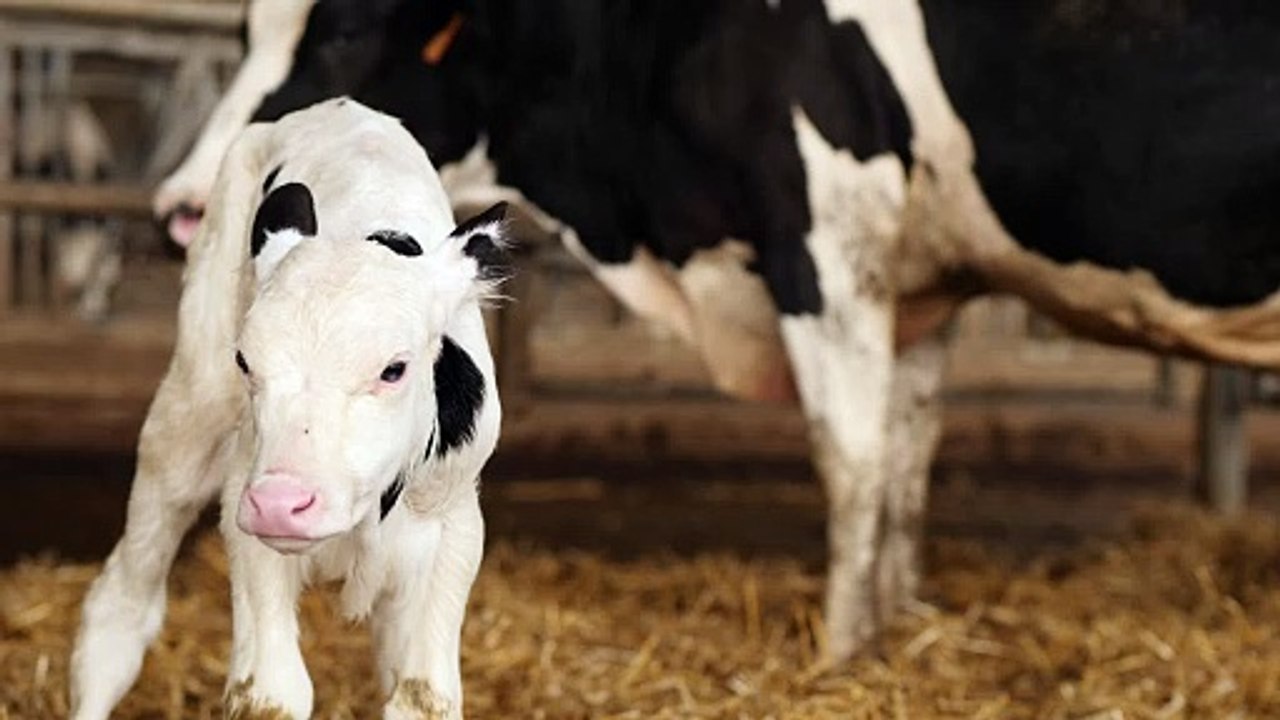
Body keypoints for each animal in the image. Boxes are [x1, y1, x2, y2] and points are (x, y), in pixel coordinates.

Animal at [71, 100, 508, 720]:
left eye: (394, 369)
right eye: (246, 361)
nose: (281, 503)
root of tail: (340, 107)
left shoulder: (453, 527)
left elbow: (421, 696)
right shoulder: (244, 514)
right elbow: (271, 694)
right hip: (188, 415)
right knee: (122, 604)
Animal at [148, 0, 1280, 664]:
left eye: (338, 32)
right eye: (244, 33)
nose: (184, 208)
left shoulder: (824, 248)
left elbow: (853, 460)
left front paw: (837, 653)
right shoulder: (918, 282)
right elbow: (909, 454)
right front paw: (897, 622)